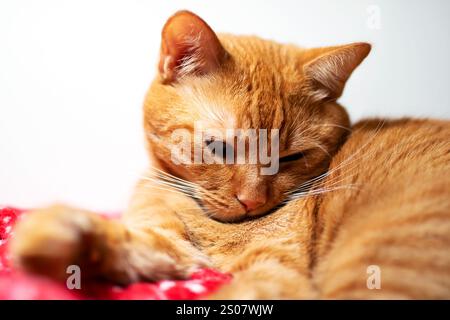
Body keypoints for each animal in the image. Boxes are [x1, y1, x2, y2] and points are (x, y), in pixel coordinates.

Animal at [10, 10, 450, 300]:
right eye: (220, 147)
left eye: (291, 158)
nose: (252, 201)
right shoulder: (173, 250)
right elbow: (130, 245)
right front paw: (54, 234)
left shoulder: (275, 271)